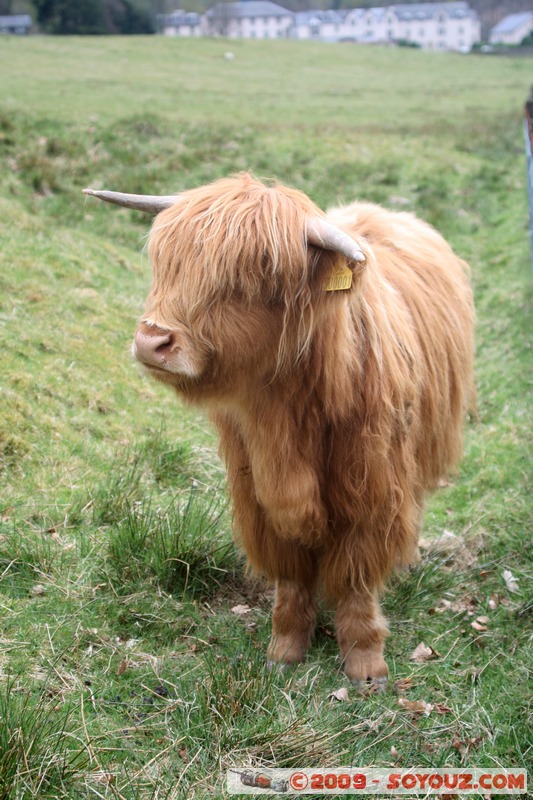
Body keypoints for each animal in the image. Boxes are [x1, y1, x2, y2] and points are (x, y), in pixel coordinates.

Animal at [84, 172, 474, 684]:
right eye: (167, 264)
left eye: (251, 279)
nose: (151, 341)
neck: (286, 414)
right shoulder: (256, 490)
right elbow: (290, 574)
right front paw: (285, 649)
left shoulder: (372, 487)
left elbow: (356, 579)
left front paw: (366, 664)